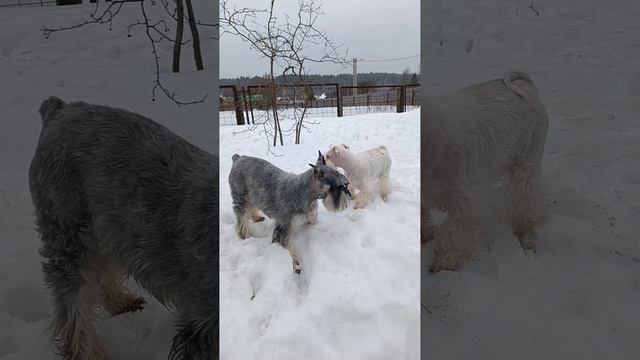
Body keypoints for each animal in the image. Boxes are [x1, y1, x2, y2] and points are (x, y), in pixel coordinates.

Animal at [420, 69, 552, 272]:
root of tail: (525, 85)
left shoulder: (464, 199)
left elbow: (455, 233)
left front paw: (444, 263)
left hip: (526, 165)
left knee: (528, 200)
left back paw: (525, 234)